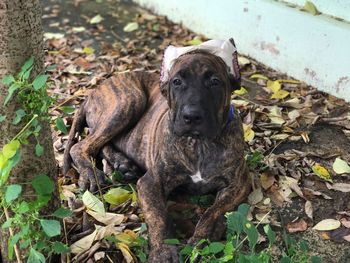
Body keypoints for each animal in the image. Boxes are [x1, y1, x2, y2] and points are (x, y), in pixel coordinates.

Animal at [63, 38, 249, 262]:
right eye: (176, 82)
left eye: (215, 81)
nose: (191, 116)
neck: (199, 145)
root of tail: (92, 92)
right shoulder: (150, 182)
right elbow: (159, 215)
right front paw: (164, 251)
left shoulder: (238, 185)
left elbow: (213, 211)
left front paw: (203, 238)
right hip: (129, 101)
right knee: (81, 145)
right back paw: (92, 172)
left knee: (102, 144)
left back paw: (122, 164)